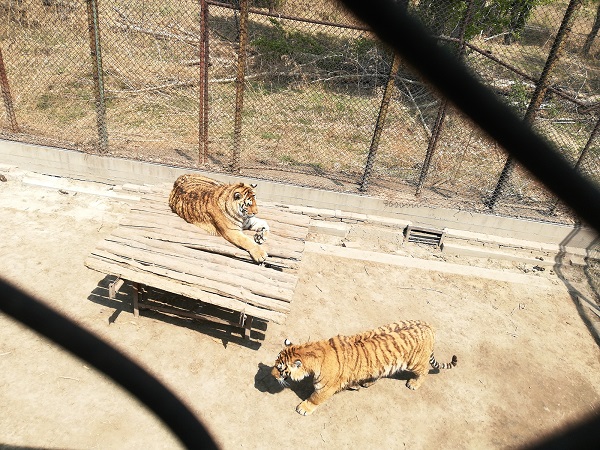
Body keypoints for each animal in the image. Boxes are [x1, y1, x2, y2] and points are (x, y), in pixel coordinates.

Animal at [270, 320, 458, 414]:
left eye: (280, 369)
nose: (272, 375)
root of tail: (428, 325)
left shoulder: (325, 388)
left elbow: (315, 398)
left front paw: (303, 408)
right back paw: (367, 382)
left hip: (415, 362)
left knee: (424, 371)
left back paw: (414, 384)